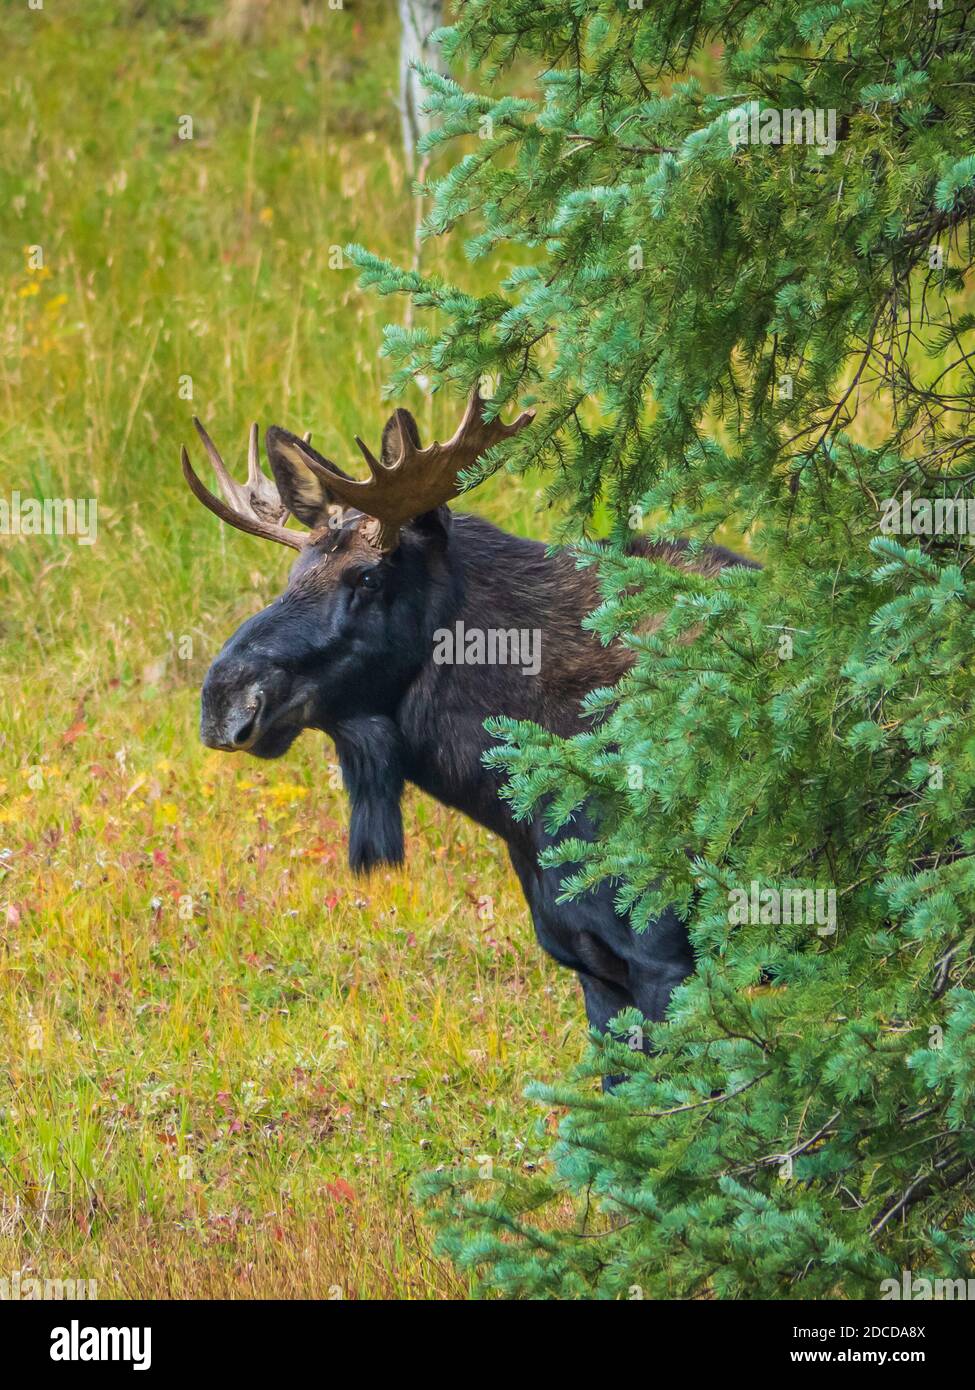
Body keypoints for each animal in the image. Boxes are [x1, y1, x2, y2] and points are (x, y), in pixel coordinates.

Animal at [179, 394, 751, 1073]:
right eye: (294, 574)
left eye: (369, 578)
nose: (224, 699)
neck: (514, 807)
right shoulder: (592, 967)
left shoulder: (667, 959)